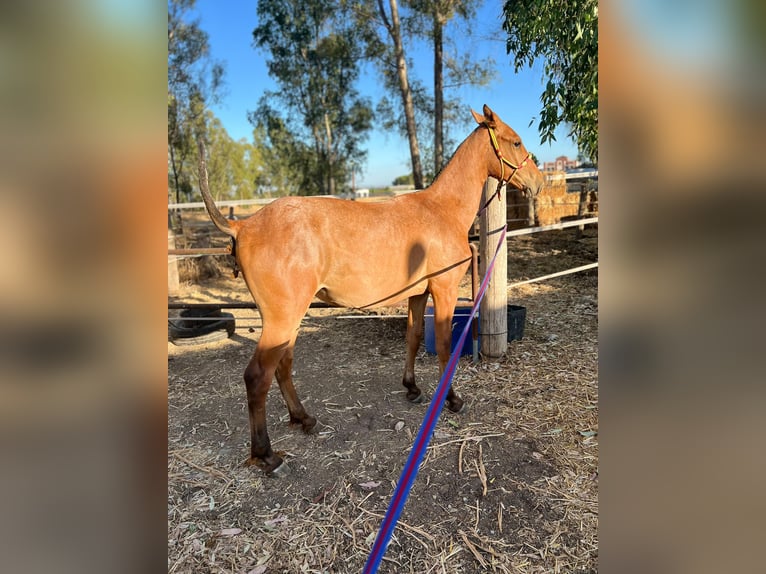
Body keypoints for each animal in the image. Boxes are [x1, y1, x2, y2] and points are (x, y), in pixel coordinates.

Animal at [200, 106, 544, 474]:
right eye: (516, 141)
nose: (538, 182)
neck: (441, 210)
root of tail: (243, 225)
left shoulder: (418, 294)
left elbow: (413, 338)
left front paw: (412, 388)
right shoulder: (444, 290)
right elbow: (444, 346)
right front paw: (452, 399)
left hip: (288, 320)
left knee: (283, 366)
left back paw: (304, 419)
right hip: (282, 318)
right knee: (257, 377)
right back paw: (266, 454)